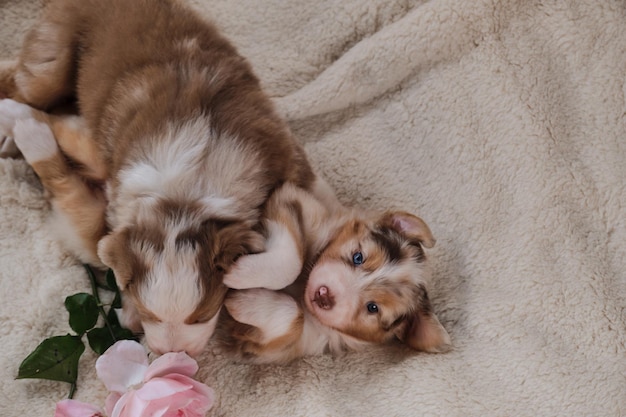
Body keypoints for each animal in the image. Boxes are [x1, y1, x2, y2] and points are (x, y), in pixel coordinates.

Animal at [0, 0, 314, 356]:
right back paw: (14, 123)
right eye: (150, 313)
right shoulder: (112, 175)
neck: (187, 192)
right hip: (50, 62)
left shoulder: (293, 170)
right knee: (20, 85)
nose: (171, 353)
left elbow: (293, 256)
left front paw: (240, 274)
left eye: (202, 315)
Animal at [219, 184, 448, 362]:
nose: (324, 295)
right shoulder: (294, 201)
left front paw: (244, 301)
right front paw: (240, 274)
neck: (302, 288)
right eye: (358, 257)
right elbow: (293, 260)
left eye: (372, 307)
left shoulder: (283, 345)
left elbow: (295, 317)